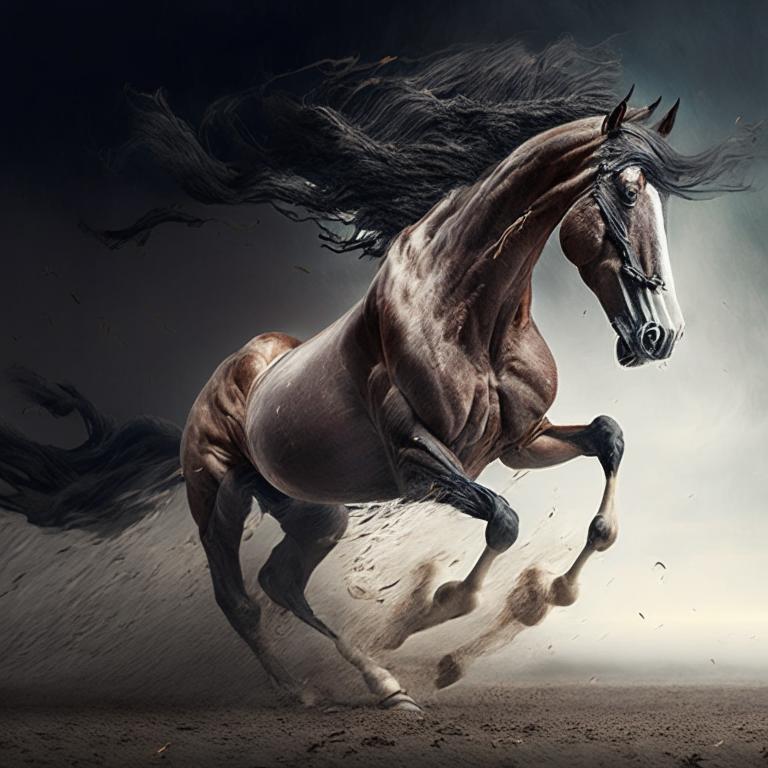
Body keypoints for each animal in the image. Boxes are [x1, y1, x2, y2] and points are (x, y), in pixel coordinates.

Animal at [178, 90, 690, 711]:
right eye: (629, 192)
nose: (662, 336)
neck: (463, 309)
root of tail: (228, 371)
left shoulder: (523, 442)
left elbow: (608, 444)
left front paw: (554, 590)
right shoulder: (417, 464)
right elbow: (503, 522)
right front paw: (433, 619)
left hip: (313, 511)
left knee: (281, 582)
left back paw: (382, 682)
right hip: (220, 503)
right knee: (239, 600)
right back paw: (306, 689)